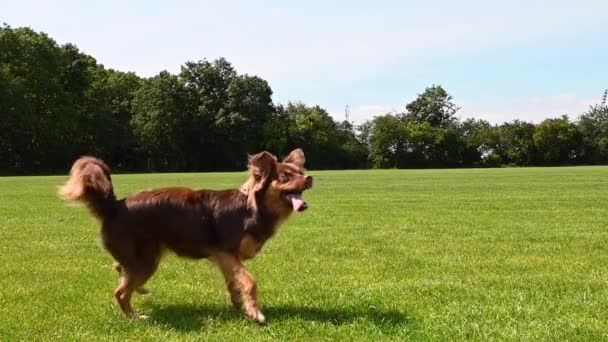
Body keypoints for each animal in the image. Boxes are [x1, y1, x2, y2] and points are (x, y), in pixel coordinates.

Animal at [59, 149, 314, 324]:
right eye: (285, 176)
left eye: (300, 173)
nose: (310, 178)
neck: (251, 208)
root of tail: (114, 206)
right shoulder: (226, 252)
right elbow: (249, 281)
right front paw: (256, 313)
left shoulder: (225, 258)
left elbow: (234, 285)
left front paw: (240, 308)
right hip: (146, 261)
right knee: (120, 292)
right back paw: (135, 317)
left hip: (145, 258)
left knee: (120, 270)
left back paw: (138, 290)